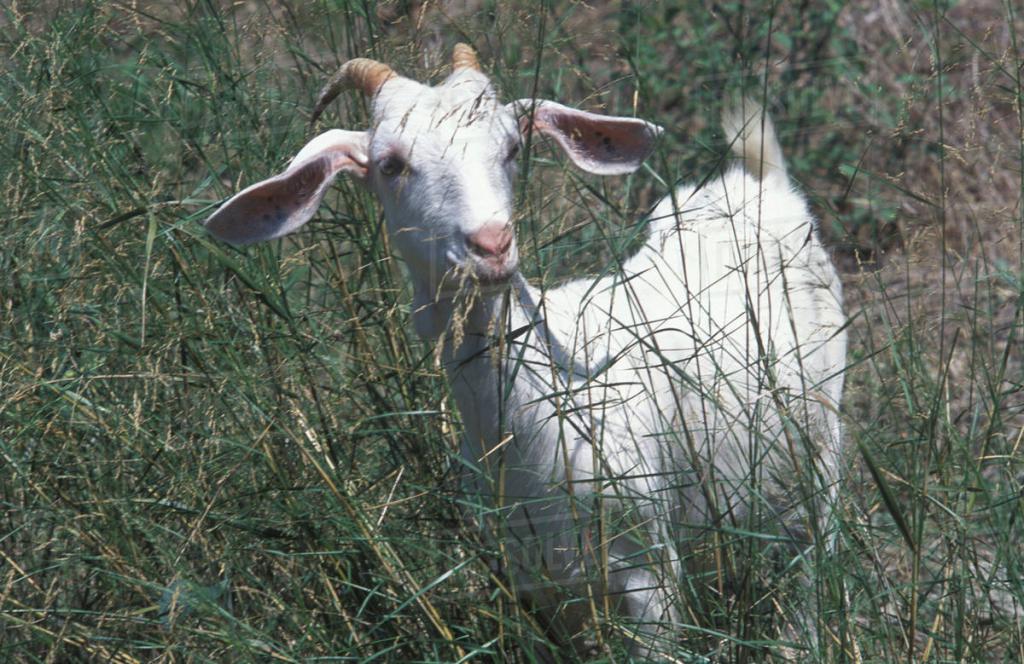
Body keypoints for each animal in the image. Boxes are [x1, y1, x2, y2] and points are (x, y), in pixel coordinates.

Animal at [204, 44, 847, 659]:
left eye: (512, 147)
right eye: (391, 164)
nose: (491, 245)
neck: (541, 412)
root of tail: (762, 183)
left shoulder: (649, 569)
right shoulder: (534, 585)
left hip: (823, 442)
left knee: (813, 565)